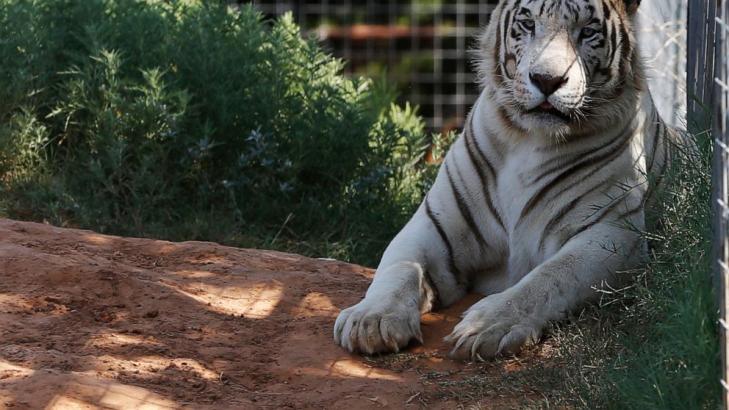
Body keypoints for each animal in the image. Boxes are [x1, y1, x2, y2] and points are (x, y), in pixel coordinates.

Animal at [332, 0, 684, 360]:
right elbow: (399, 268)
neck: (530, 140)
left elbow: (550, 277)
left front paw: (486, 325)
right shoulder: (433, 225)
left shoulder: (613, 234)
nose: (546, 80)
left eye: (587, 31)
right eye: (528, 24)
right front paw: (371, 320)